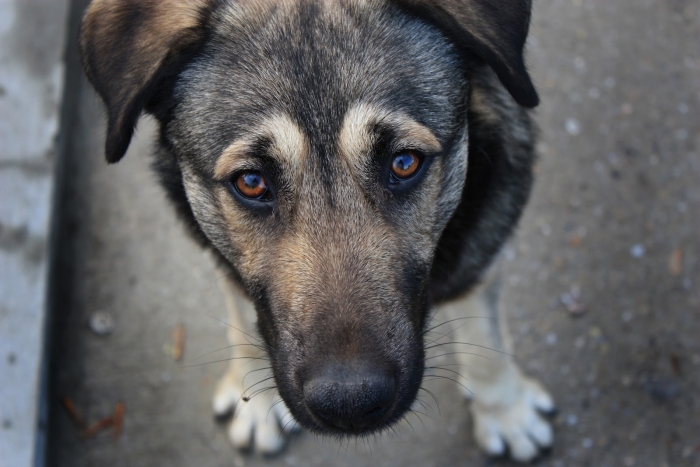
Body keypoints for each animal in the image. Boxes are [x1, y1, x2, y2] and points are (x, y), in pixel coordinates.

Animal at [79, 0, 556, 460]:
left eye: (404, 162)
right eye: (251, 182)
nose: (350, 405)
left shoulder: (482, 241)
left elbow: (486, 334)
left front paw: (506, 411)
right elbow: (243, 316)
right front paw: (255, 396)